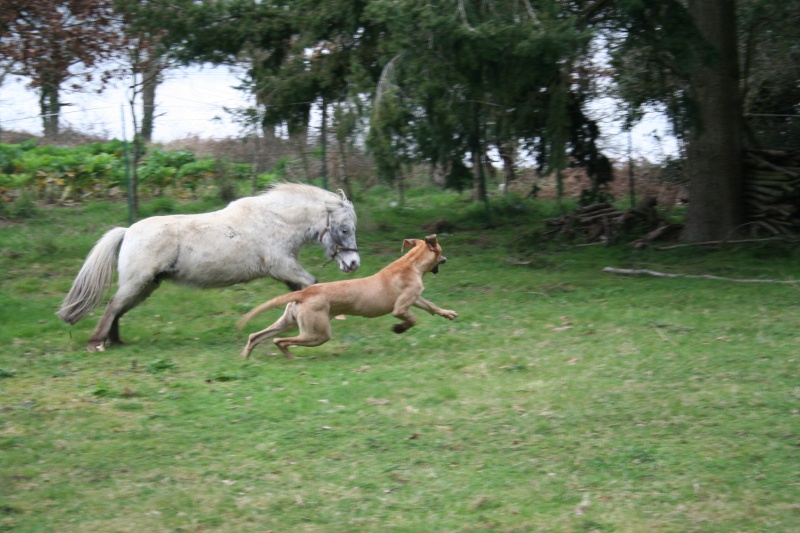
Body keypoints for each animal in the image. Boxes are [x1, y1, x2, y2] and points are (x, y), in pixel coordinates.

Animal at [61, 183, 360, 354]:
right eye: (345, 229)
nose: (354, 264)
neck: (276, 221)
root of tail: (128, 231)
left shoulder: (286, 270)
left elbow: (298, 292)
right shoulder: (283, 266)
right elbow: (311, 284)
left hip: (145, 285)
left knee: (119, 308)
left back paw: (115, 342)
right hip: (138, 282)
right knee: (113, 306)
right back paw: (97, 343)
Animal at [239, 233, 456, 358]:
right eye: (441, 251)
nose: (446, 258)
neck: (411, 264)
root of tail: (304, 291)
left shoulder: (416, 298)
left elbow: (431, 306)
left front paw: (448, 313)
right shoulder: (401, 307)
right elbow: (412, 319)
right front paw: (399, 328)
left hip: (290, 322)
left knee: (256, 336)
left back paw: (246, 357)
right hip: (317, 333)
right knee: (280, 341)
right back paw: (291, 357)